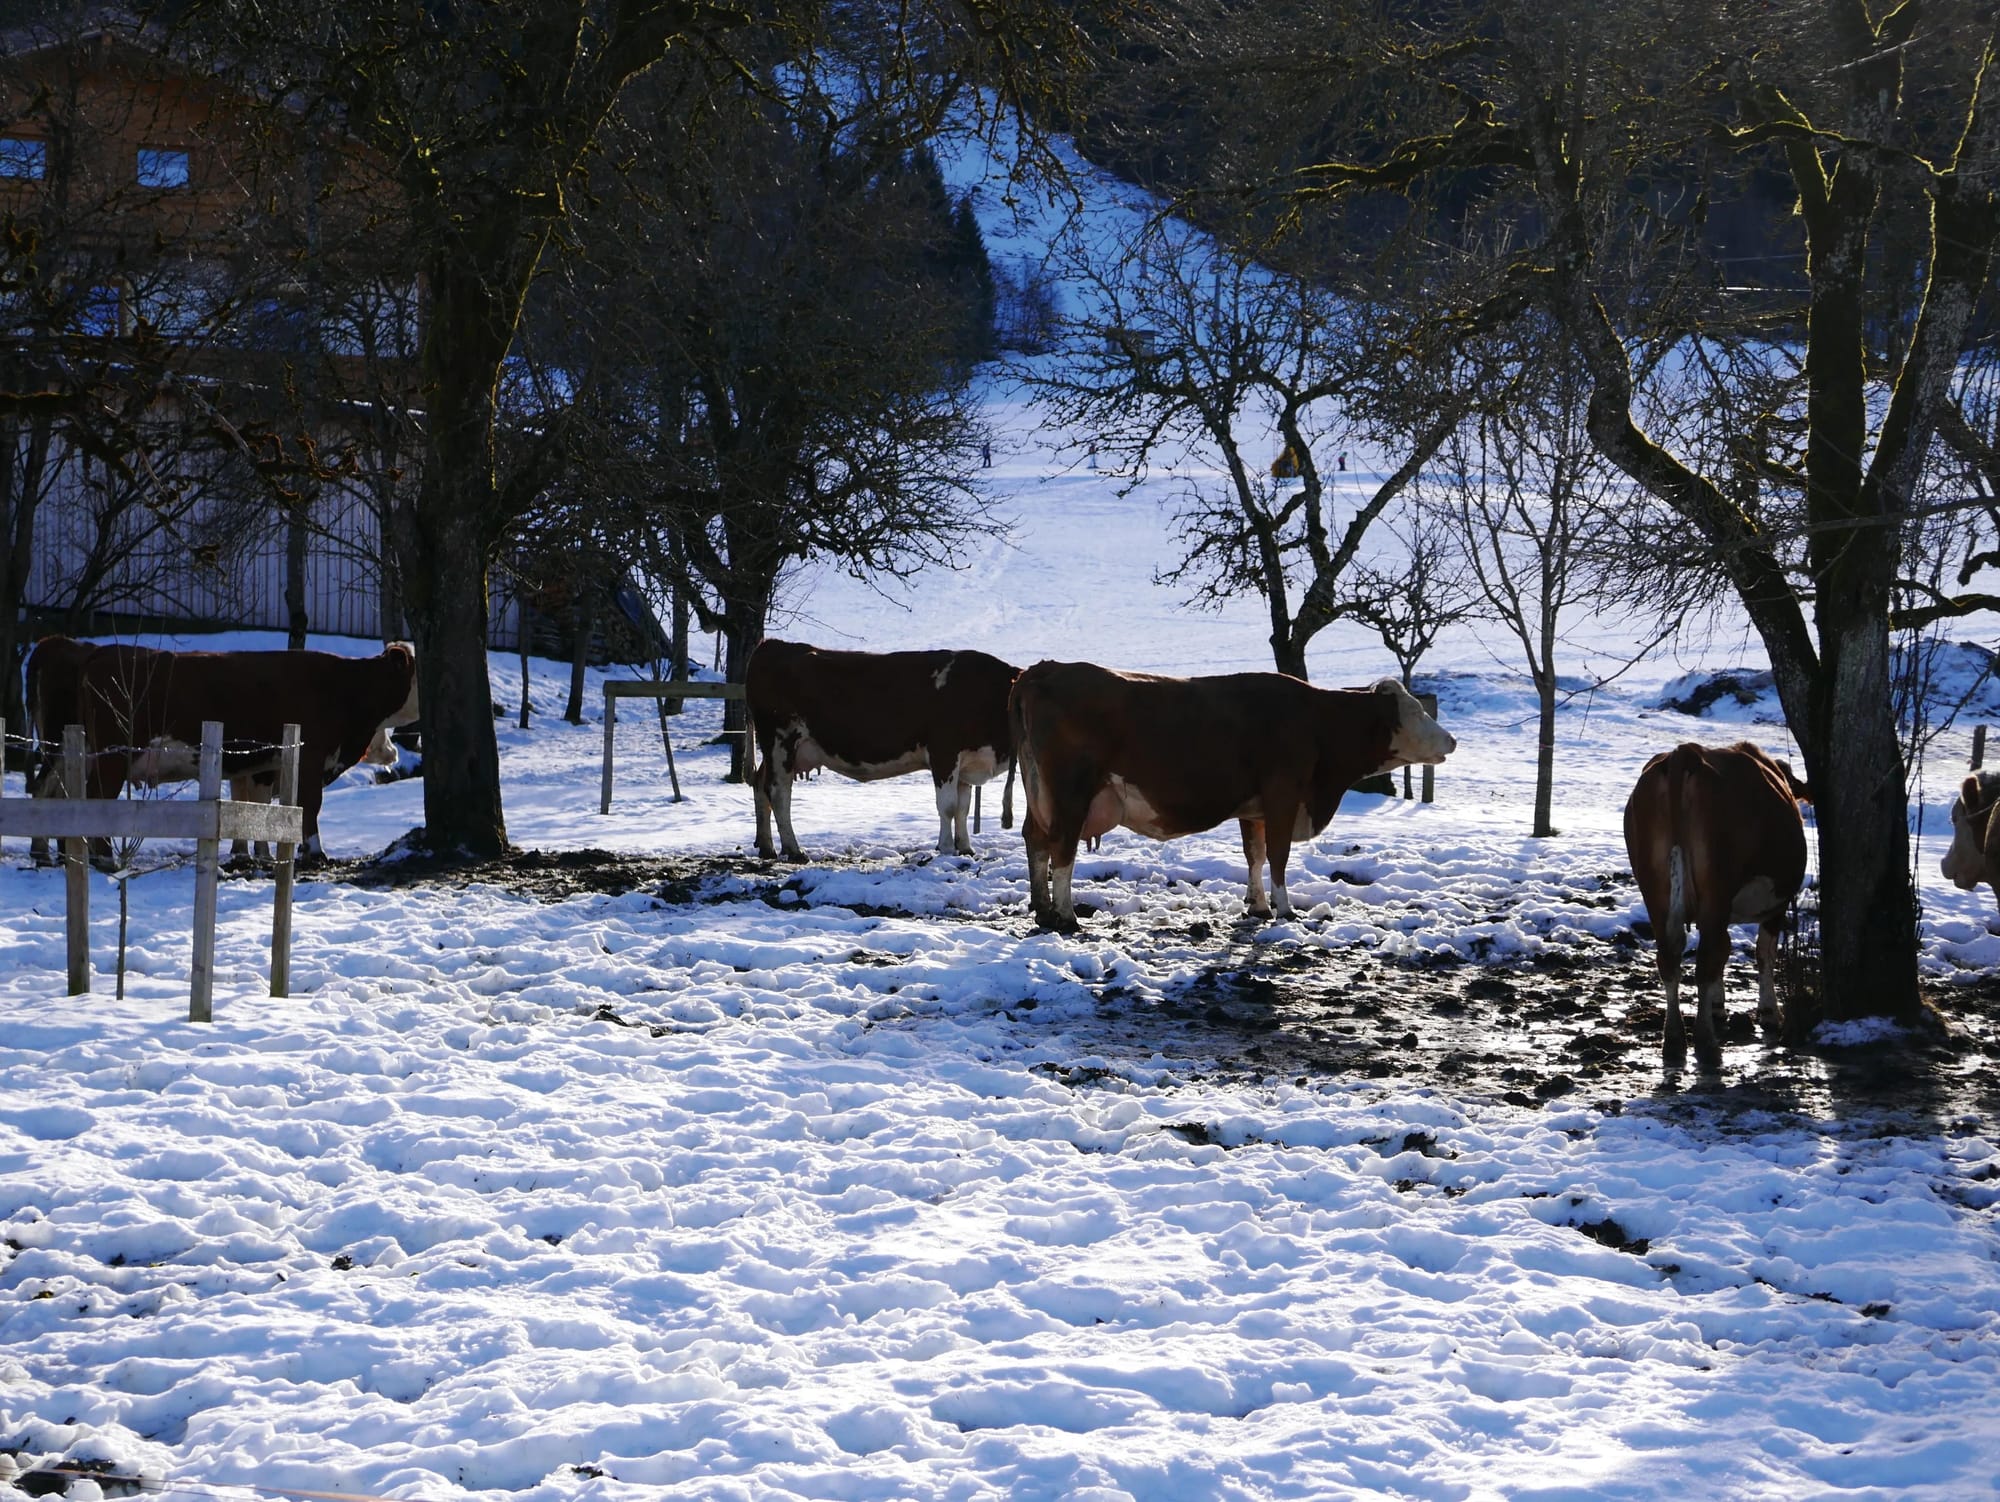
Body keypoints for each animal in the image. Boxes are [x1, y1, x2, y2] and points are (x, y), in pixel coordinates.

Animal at [59, 641, 419, 865]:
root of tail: (103, 652)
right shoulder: (310, 756)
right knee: (98, 799)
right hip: (113, 754)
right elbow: (309, 805)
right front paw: (314, 852)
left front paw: (262, 854)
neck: (347, 689)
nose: (394, 754)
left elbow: (262, 809)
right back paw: (104, 857)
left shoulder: (265, 764)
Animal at [745, 639, 1018, 862]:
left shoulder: (967, 762)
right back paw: (794, 850)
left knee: (760, 784)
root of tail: (772, 644)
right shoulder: (944, 753)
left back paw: (767, 848)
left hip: (777, 751)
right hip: (781, 741)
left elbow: (963, 808)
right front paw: (947, 848)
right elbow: (948, 806)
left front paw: (966, 848)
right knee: (778, 792)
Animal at [1009, 662, 1456, 932]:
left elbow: (1254, 854)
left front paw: (1257, 906)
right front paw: (1284, 910)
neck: (1316, 721)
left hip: (1039, 793)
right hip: (1071, 793)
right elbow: (1278, 855)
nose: (1451, 740)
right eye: (1417, 712)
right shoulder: (1283, 793)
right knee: (1062, 849)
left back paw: (1043, 909)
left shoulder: (1254, 807)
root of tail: (1044, 669)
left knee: (1036, 840)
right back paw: (1066, 916)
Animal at [1622, 741, 1810, 1070]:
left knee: (1672, 958)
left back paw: (1674, 1041)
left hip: (1656, 892)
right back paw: (1706, 1043)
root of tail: (1685, 752)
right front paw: (1769, 1013)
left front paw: (1717, 1005)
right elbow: (1764, 954)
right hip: (1716, 888)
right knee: (1708, 958)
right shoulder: (1777, 906)